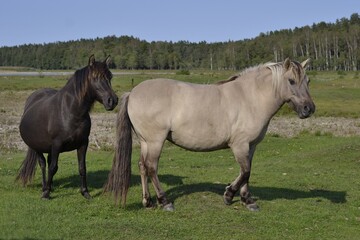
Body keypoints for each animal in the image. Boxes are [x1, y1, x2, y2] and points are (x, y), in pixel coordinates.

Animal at [17, 54, 118, 199]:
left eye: (110, 77)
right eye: (95, 77)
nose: (112, 101)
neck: (71, 111)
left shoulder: (83, 144)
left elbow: (82, 168)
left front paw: (85, 192)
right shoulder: (57, 144)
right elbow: (53, 167)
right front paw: (46, 194)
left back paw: (51, 186)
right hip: (37, 147)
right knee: (43, 164)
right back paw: (44, 187)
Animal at [105, 58, 316, 210]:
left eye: (308, 81)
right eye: (291, 81)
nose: (309, 109)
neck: (250, 97)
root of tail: (133, 92)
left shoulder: (251, 146)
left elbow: (247, 172)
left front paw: (247, 200)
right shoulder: (239, 145)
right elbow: (245, 171)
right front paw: (229, 195)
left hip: (145, 141)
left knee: (142, 167)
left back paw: (147, 202)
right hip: (155, 141)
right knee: (151, 168)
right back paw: (164, 201)